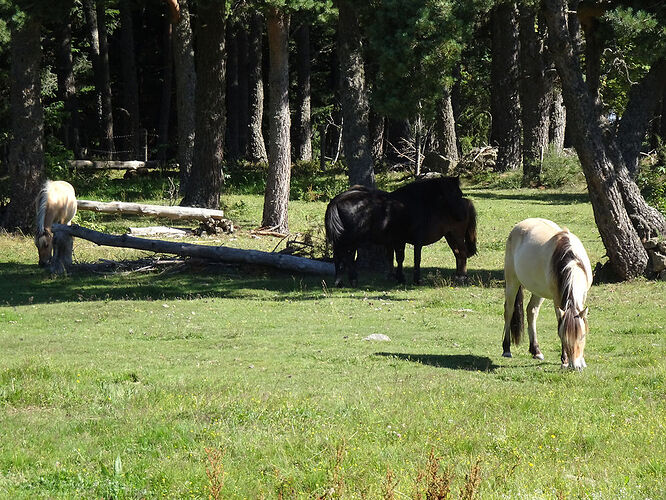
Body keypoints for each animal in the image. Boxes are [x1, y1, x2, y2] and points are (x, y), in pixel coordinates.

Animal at [324, 175, 474, 286]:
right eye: (457, 193)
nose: (462, 215)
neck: (415, 203)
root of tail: (336, 201)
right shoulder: (412, 240)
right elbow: (412, 258)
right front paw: (412, 279)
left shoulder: (398, 240)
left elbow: (398, 258)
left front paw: (399, 277)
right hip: (351, 239)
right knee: (346, 257)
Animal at [500, 219, 588, 372]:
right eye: (564, 337)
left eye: (582, 336)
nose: (575, 366)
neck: (572, 261)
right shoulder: (557, 300)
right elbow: (560, 322)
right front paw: (564, 361)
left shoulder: (583, 297)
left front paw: (582, 361)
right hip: (512, 282)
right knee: (509, 311)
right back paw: (506, 349)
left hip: (538, 290)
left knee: (531, 311)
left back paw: (536, 351)